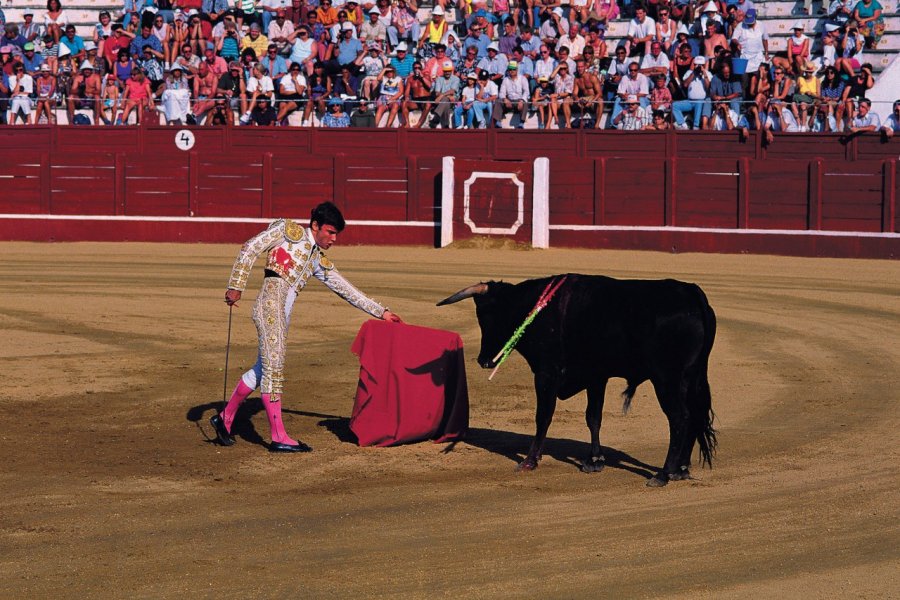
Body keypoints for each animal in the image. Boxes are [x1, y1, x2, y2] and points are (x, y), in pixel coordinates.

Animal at [436, 274, 716, 486]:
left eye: (487, 315)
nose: (484, 360)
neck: (537, 310)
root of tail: (691, 292)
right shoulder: (596, 377)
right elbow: (593, 417)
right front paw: (594, 461)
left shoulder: (546, 373)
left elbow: (543, 417)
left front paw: (529, 461)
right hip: (690, 378)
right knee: (692, 417)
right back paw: (681, 469)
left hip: (666, 379)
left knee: (679, 418)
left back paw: (664, 473)